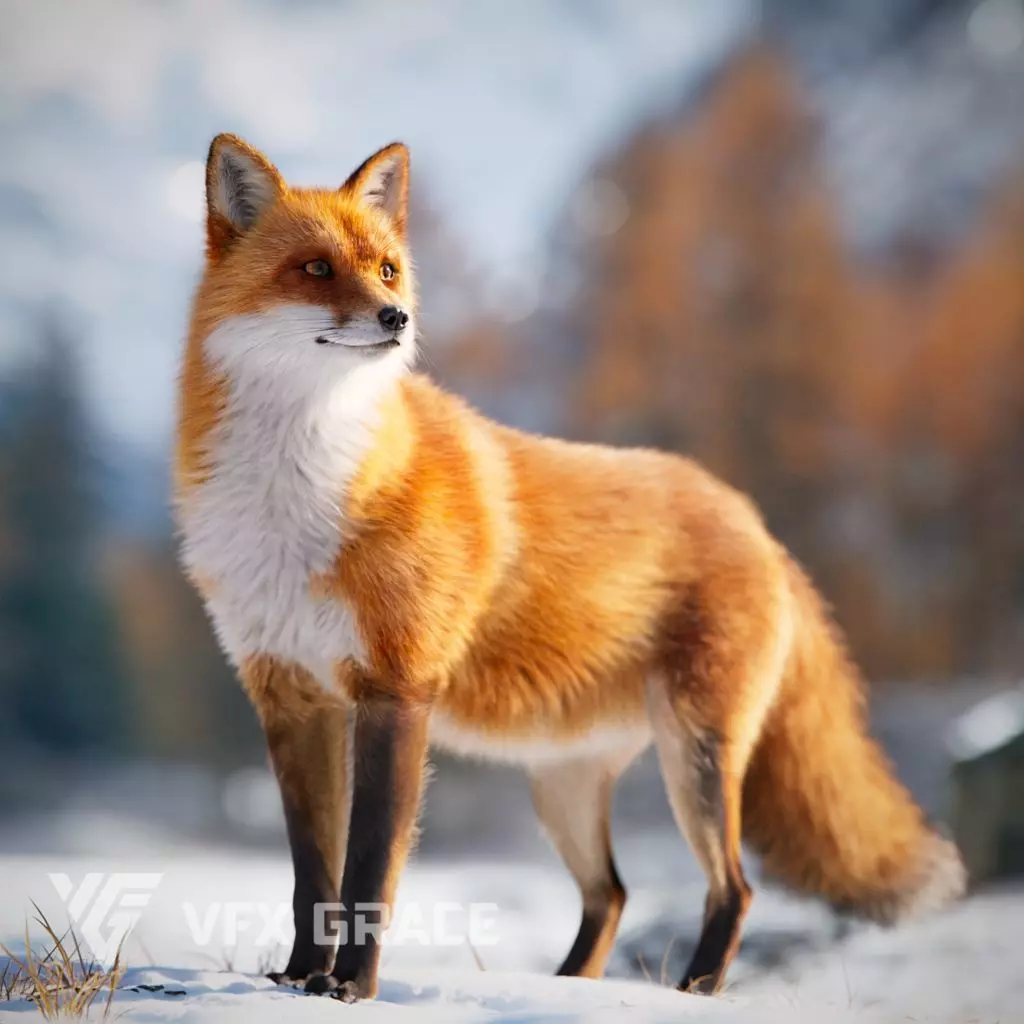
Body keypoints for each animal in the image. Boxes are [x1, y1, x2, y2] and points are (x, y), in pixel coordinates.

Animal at [175, 133, 966, 1002]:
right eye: (316, 268)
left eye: (386, 268)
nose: (397, 317)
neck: (298, 492)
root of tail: (754, 520)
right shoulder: (291, 696)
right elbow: (311, 873)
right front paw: (295, 978)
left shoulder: (396, 689)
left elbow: (370, 870)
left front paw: (350, 987)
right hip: (566, 787)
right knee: (611, 893)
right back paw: (570, 988)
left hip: (695, 755)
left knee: (733, 888)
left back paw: (692, 990)